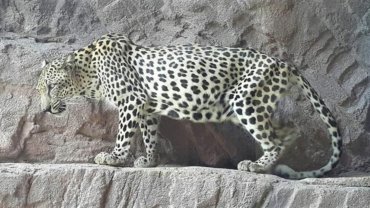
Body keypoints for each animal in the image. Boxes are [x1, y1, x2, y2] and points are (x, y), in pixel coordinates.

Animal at [36, 33, 342, 180]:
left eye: (51, 87)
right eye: (40, 90)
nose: (45, 109)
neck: (88, 74)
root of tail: (282, 62)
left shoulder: (131, 100)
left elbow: (124, 135)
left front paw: (114, 158)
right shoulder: (147, 107)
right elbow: (149, 135)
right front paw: (149, 161)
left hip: (244, 101)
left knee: (274, 140)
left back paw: (256, 166)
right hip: (255, 103)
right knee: (288, 131)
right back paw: (275, 165)